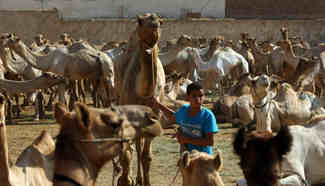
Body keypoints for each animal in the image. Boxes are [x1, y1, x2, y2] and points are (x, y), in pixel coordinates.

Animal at [117, 13, 165, 186]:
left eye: (161, 22)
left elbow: (146, 156)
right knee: (134, 145)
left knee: (140, 145)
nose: (153, 25)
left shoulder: (154, 114)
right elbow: (127, 152)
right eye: (139, 21)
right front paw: (125, 180)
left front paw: (146, 182)